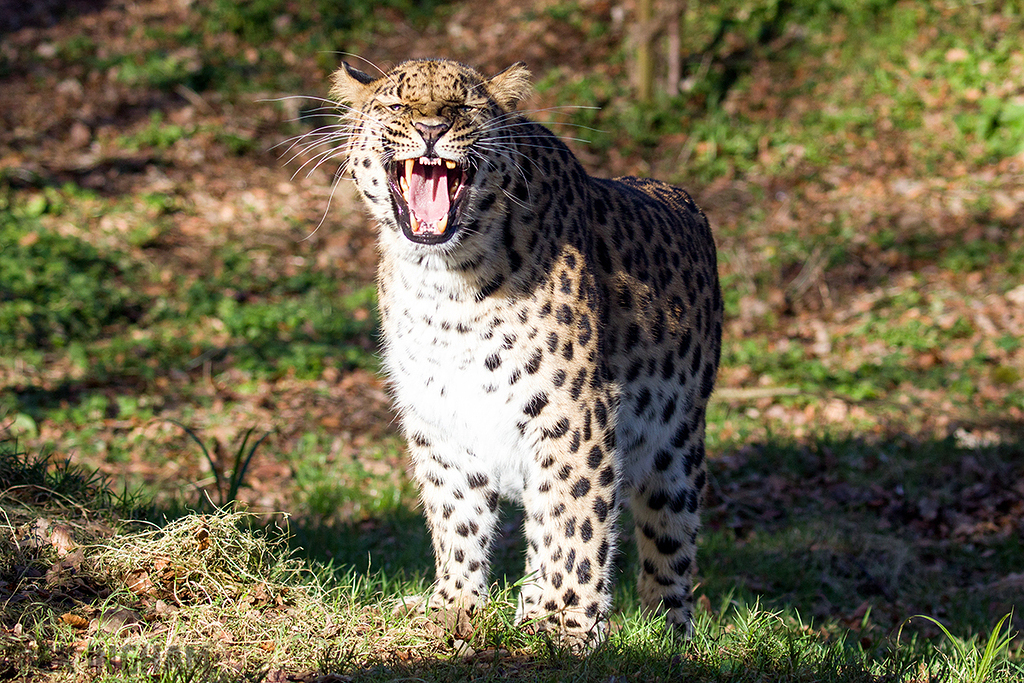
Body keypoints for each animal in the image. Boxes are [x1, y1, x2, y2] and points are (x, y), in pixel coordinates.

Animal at [331, 57, 724, 647]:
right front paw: (453, 606)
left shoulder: (574, 413)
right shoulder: (441, 414)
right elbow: (457, 516)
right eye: (398, 106)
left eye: (464, 107)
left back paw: (663, 637)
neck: (445, 284)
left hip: (675, 449)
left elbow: (576, 525)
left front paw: (569, 629)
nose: (431, 128)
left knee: (666, 552)